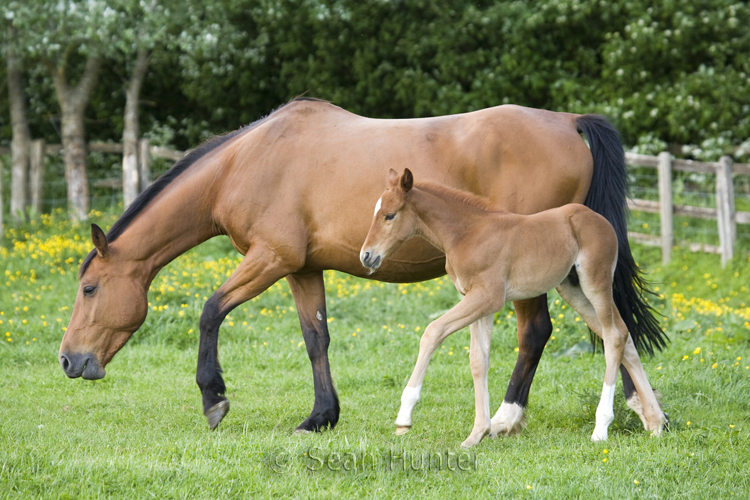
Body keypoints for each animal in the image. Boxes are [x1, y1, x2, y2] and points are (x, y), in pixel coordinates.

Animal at [362, 168, 668, 446]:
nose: (366, 256)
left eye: (390, 215)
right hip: (573, 291)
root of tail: (601, 220)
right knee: (624, 336)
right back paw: (656, 422)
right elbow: (478, 360)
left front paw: (404, 416)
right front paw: (476, 434)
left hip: (596, 284)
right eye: (376, 212)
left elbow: (432, 332)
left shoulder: (488, 297)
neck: (467, 233)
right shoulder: (477, 301)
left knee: (614, 337)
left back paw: (601, 428)